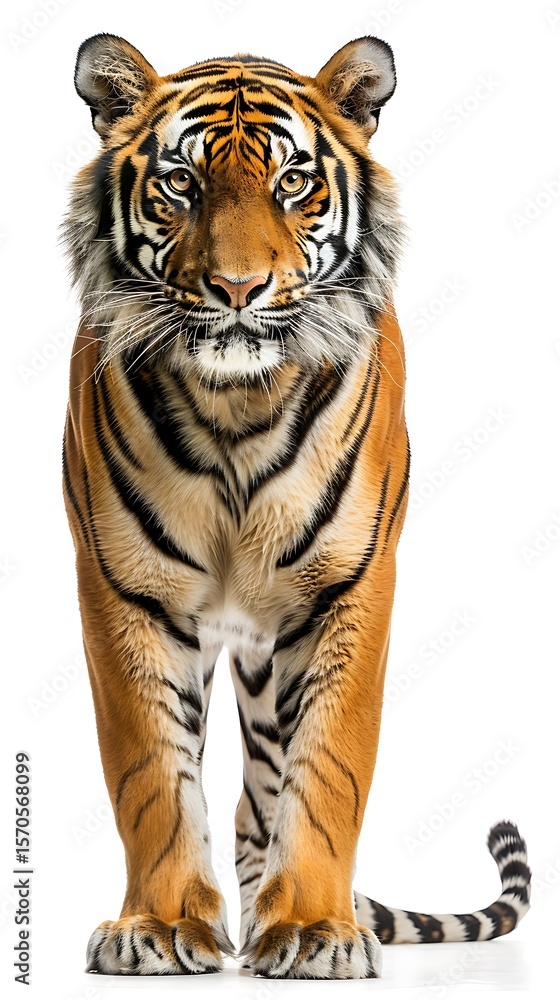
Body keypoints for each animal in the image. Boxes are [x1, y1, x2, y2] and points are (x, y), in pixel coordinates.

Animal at [62, 33, 531, 980]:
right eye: (182, 183)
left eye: (291, 183)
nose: (239, 288)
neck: (236, 404)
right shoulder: (124, 587)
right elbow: (149, 771)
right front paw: (159, 925)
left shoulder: (351, 583)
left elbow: (330, 768)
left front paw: (316, 929)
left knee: (262, 801)